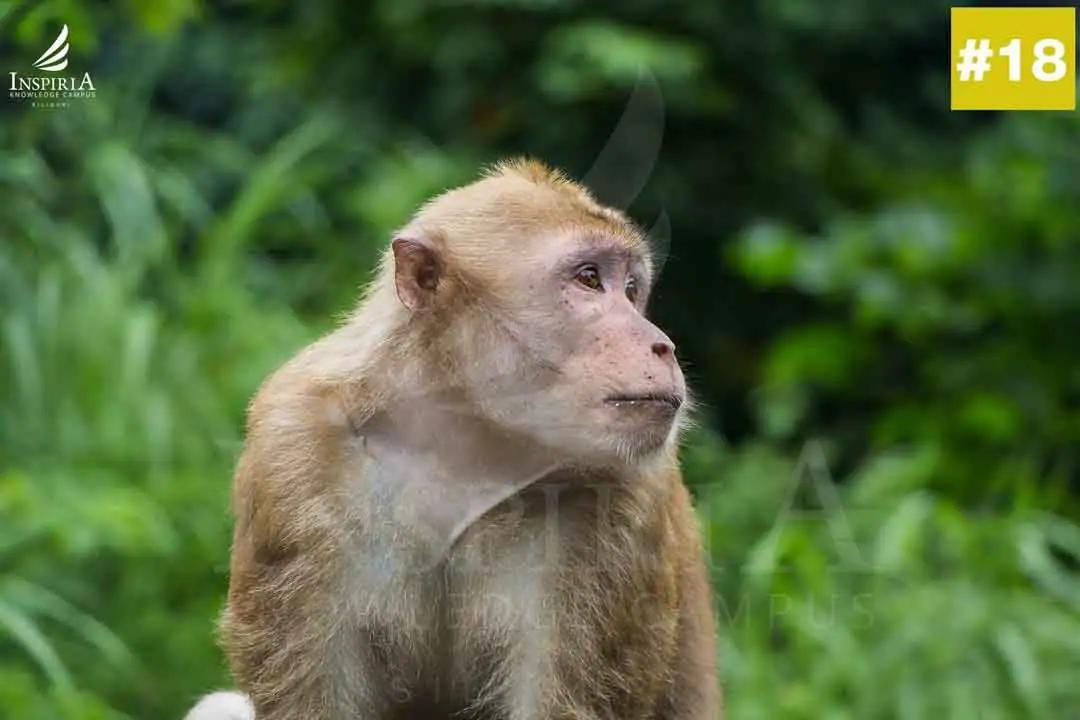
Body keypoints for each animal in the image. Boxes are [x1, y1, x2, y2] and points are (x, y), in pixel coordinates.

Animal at [185, 159, 719, 720]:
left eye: (632, 289)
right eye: (590, 278)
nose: (662, 344)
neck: (465, 450)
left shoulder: (628, 491)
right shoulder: (290, 446)